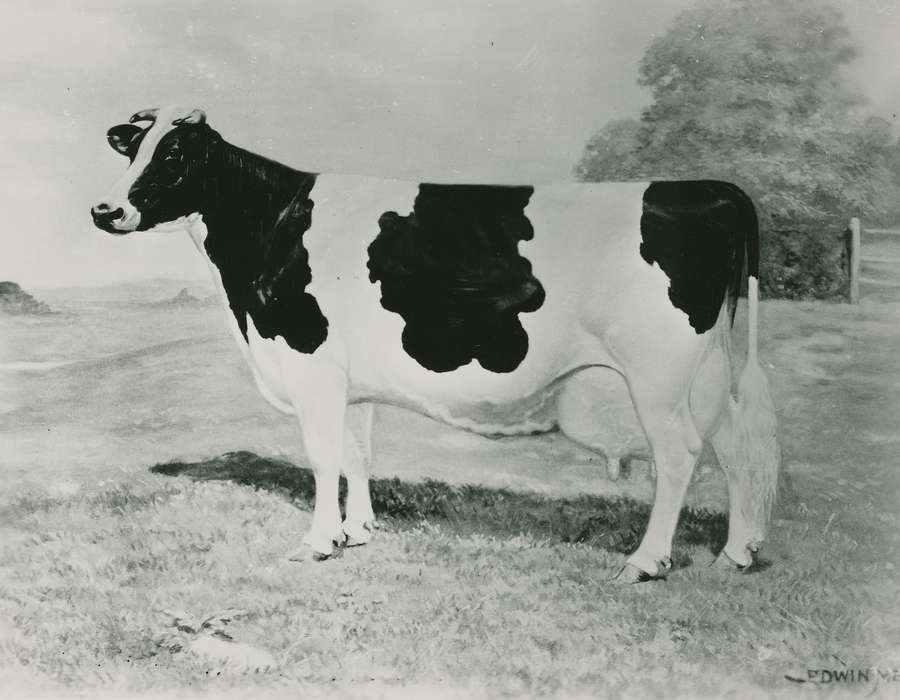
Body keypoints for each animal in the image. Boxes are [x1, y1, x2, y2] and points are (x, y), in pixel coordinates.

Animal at [91, 106, 780, 582]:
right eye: (132, 151)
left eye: (173, 156)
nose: (104, 210)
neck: (273, 226)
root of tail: (710, 188)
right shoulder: (350, 378)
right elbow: (358, 452)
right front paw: (357, 531)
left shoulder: (311, 365)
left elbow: (323, 455)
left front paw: (317, 542)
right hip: (704, 371)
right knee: (734, 446)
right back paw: (737, 552)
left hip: (657, 374)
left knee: (681, 455)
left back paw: (645, 561)